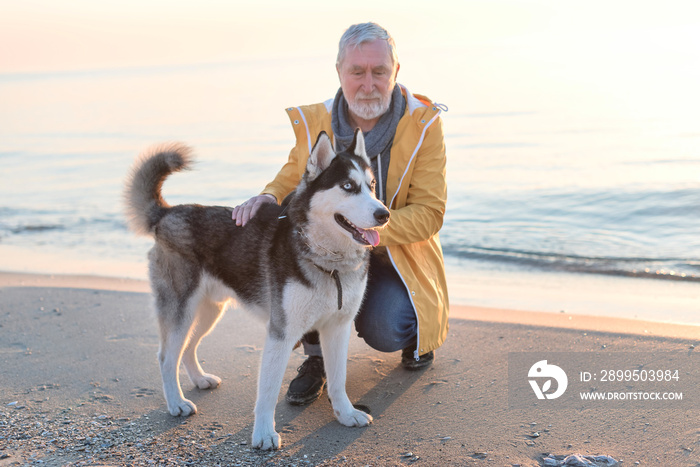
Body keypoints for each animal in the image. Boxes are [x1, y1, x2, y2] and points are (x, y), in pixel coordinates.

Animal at [123, 129, 392, 450]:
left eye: (372, 186)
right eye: (348, 187)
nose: (384, 214)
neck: (329, 261)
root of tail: (168, 213)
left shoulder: (337, 328)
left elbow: (338, 379)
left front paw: (346, 414)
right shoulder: (281, 332)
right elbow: (268, 390)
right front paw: (263, 433)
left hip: (209, 311)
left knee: (187, 347)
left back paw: (199, 379)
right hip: (181, 311)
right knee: (166, 356)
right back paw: (176, 402)